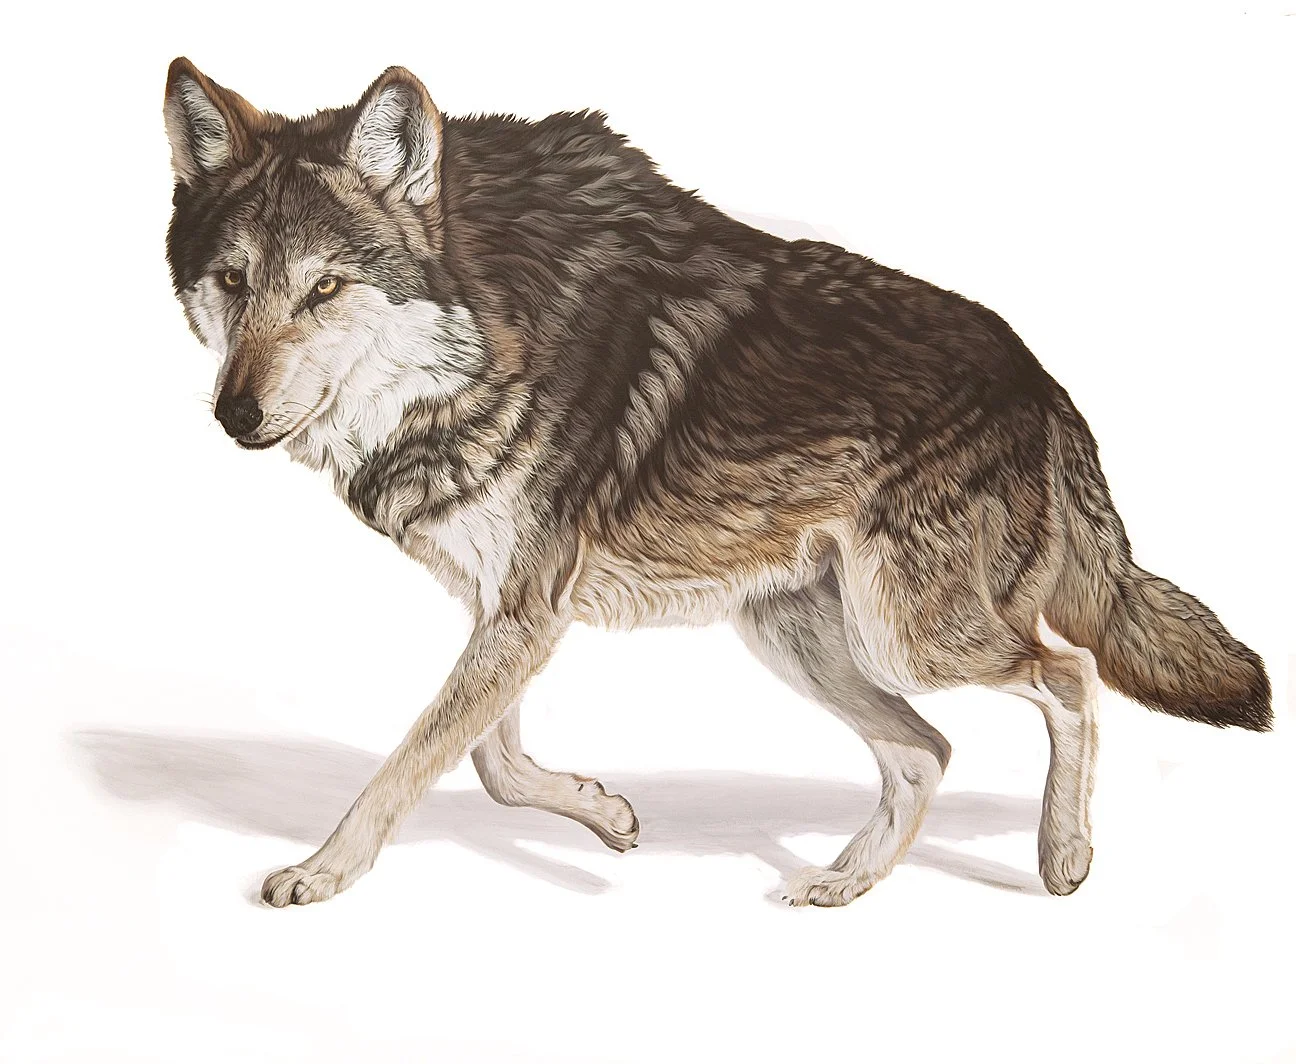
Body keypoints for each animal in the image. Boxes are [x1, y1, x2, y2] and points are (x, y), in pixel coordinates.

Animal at [163, 59, 1271, 908]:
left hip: (910, 638)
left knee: (1069, 678)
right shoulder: (508, 608)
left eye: (325, 287)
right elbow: (487, 757)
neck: (488, 332)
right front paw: (605, 813)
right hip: (797, 639)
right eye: (233, 281)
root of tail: (1044, 384)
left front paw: (319, 872)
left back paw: (1063, 856)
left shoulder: (523, 610)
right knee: (928, 751)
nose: (234, 415)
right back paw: (844, 884)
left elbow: (409, 763)